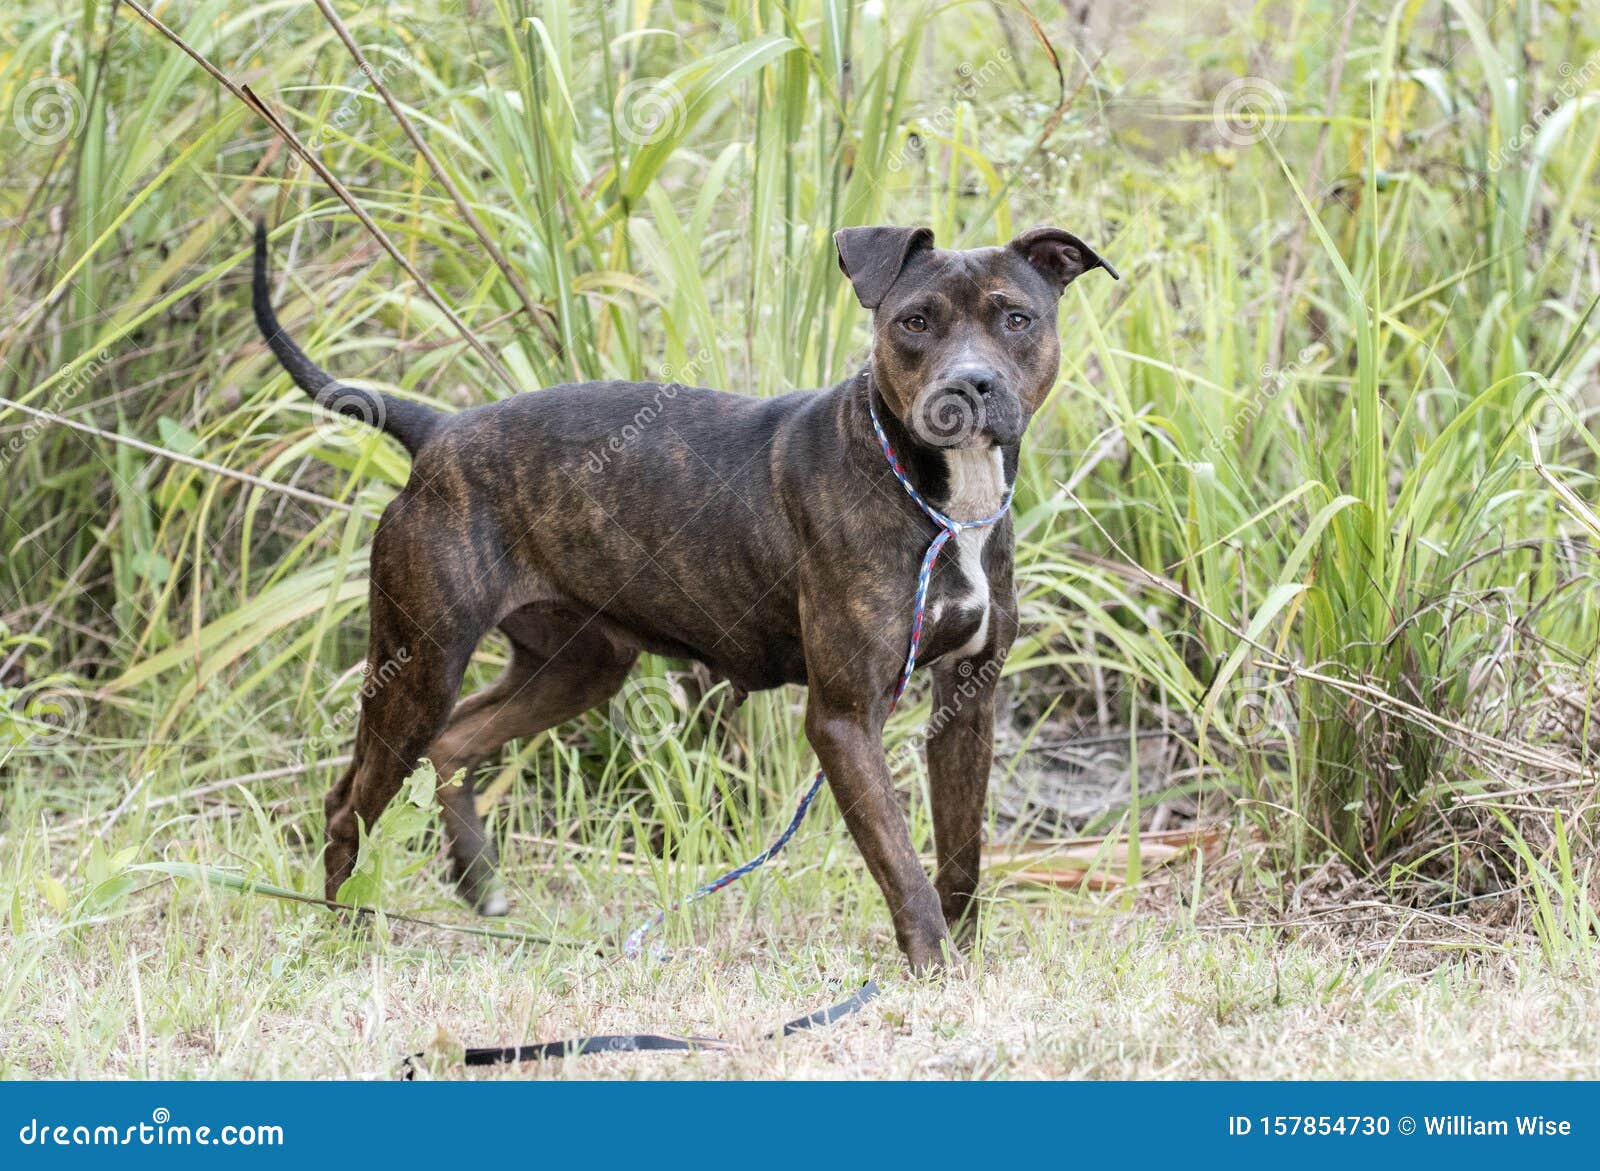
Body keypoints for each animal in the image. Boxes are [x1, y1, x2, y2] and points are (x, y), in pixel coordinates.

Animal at [256, 222, 1120, 972]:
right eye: (915, 321)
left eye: (1016, 318)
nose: (968, 384)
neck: (939, 498)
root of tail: (436, 429)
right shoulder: (845, 718)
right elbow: (903, 863)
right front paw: (935, 968)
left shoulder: (969, 697)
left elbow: (962, 851)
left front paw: (969, 960)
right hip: (418, 666)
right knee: (348, 799)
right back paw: (347, 928)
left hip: (576, 665)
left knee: (458, 741)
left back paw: (478, 883)